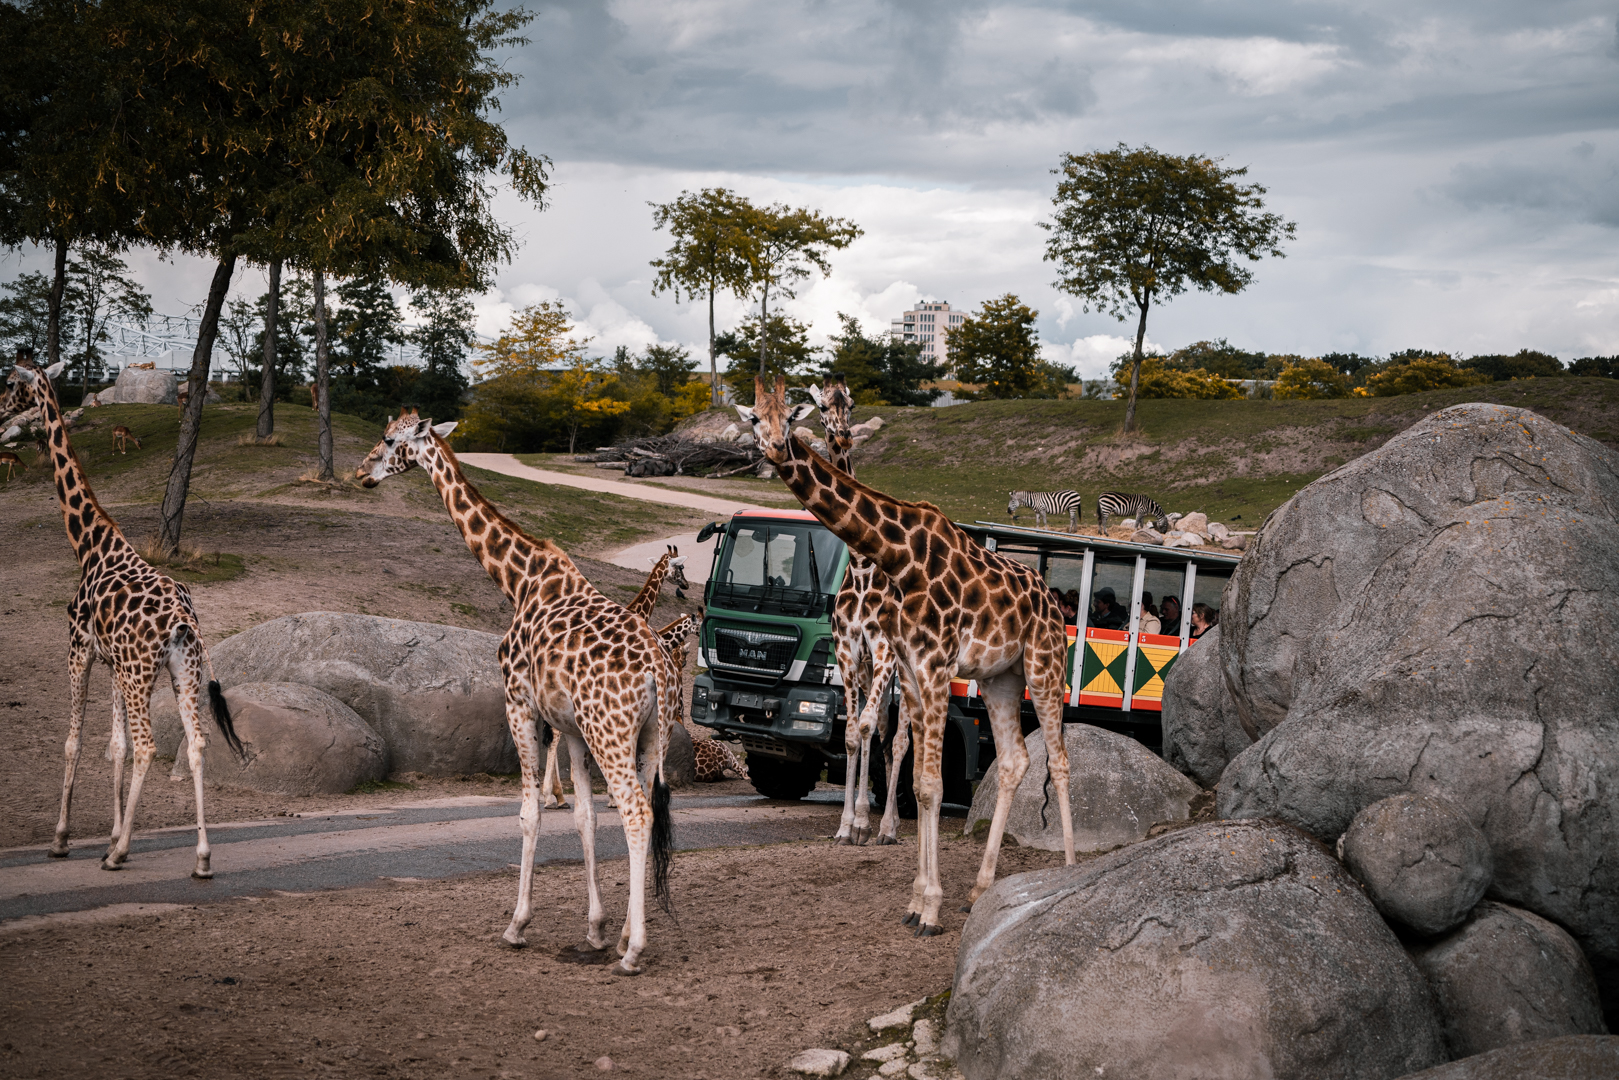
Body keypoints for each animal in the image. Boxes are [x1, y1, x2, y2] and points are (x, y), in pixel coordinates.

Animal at [2, 359, 244, 876]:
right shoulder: (114, 663)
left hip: (141, 674)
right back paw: (201, 857)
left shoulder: (79, 649)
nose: (1, 405)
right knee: (196, 744)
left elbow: (74, 741)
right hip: (182, 672)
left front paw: (64, 839)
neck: (89, 544)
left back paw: (119, 855)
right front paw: (111, 833)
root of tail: (184, 620)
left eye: (12, 383)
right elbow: (116, 745)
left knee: (150, 745)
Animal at [737, 377, 1075, 935]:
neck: (893, 556)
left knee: (1061, 760)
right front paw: (917, 900)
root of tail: (1053, 599)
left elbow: (932, 783)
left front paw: (929, 907)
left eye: (789, 417)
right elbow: (917, 781)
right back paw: (979, 890)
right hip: (1001, 678)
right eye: (753, 418)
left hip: (1044, 665)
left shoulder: (932, 667)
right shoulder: (912, 671)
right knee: (1014, 761)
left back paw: (1066, 876)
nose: (774, 448)